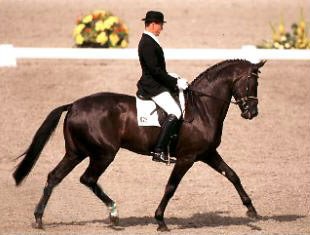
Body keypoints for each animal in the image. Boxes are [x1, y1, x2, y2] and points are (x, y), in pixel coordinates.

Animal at [12, 58, 266, 231]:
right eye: (251, 83)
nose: (252, 113)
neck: (202, 108)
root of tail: (73, 104)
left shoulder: (207, 153)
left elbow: (232, 175)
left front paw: (252, 211)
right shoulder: (187, 158)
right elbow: (171, 187)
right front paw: (160, 220)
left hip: (76, 152)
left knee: (54, 177)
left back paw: (39, 218)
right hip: (103, 154)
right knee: (88, 179)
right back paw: (114, 214)